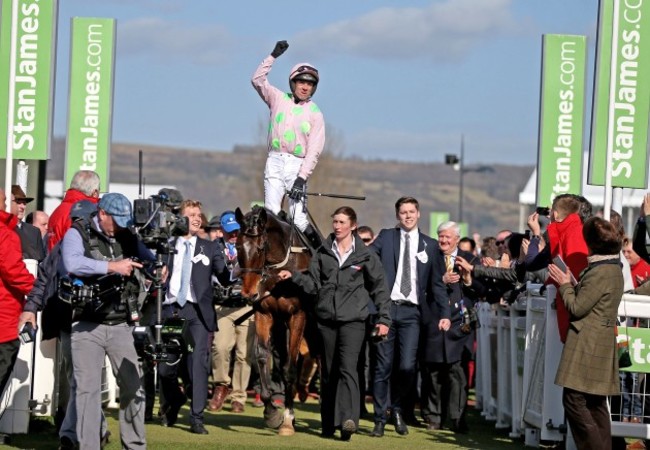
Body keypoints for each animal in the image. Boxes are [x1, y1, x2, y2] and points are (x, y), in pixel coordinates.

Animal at [234, 207, 312, 436]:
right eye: (237, 246)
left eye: (260, 247)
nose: (249, 293)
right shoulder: (264, 313)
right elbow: (262, 356)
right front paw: (272, 412)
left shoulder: (298, 317)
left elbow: (290, 367)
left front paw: (287, 420)